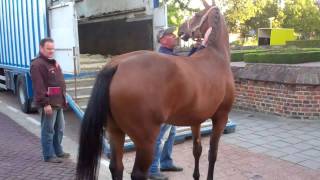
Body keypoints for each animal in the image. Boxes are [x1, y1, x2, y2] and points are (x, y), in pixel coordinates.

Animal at [76, 0, 234, 179]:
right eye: (197, 14)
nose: (181, 30)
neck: (216, 55)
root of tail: (117, 65)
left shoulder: (196, 120)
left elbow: (197, 150)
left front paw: (196, 175)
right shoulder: (221, 117)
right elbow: (212, 153)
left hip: (115, 132)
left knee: (116, 167)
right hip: (146, 141)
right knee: (138, 173)